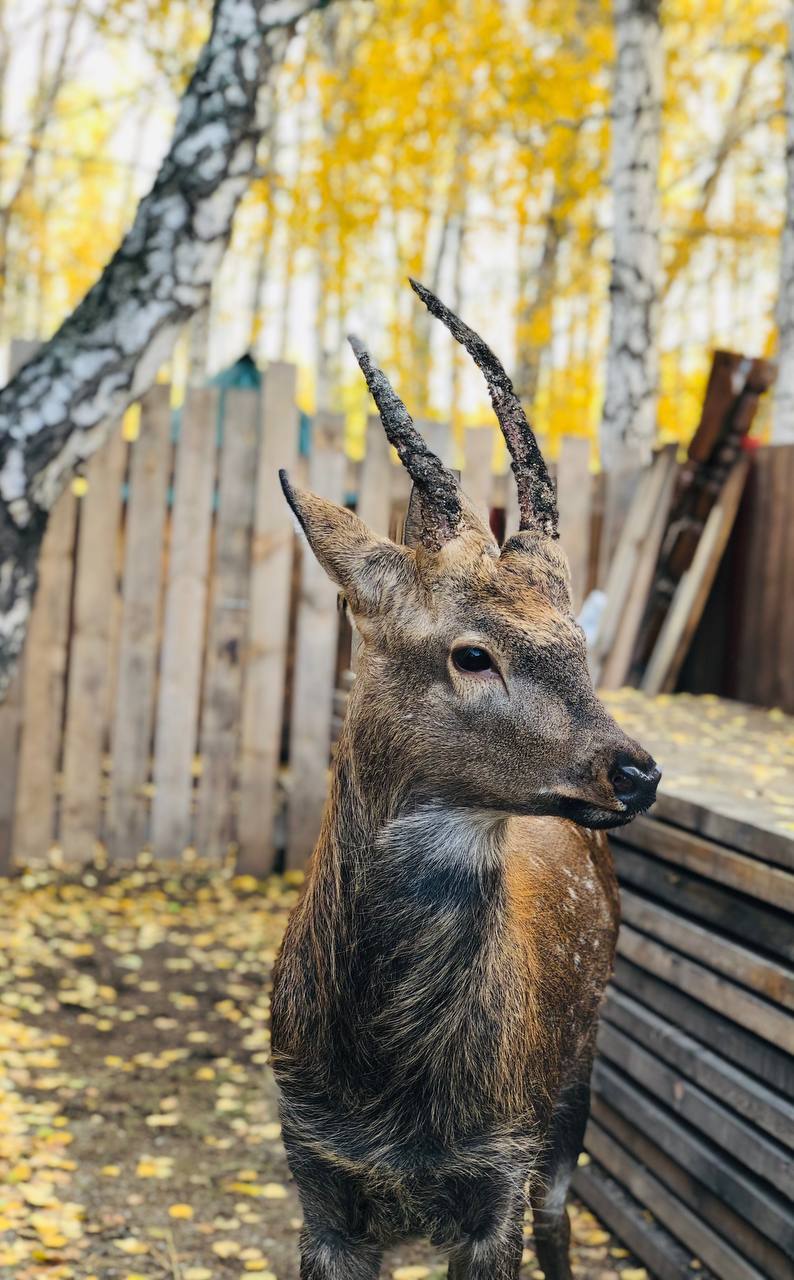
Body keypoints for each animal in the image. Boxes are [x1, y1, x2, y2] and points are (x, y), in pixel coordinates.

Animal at [270, 280, 660, 1280]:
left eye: (580, 646)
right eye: (473, 653)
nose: (636, 771)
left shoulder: (501, 1171)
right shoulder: (314, 1179)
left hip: (579, 1066)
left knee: (563, 1215)